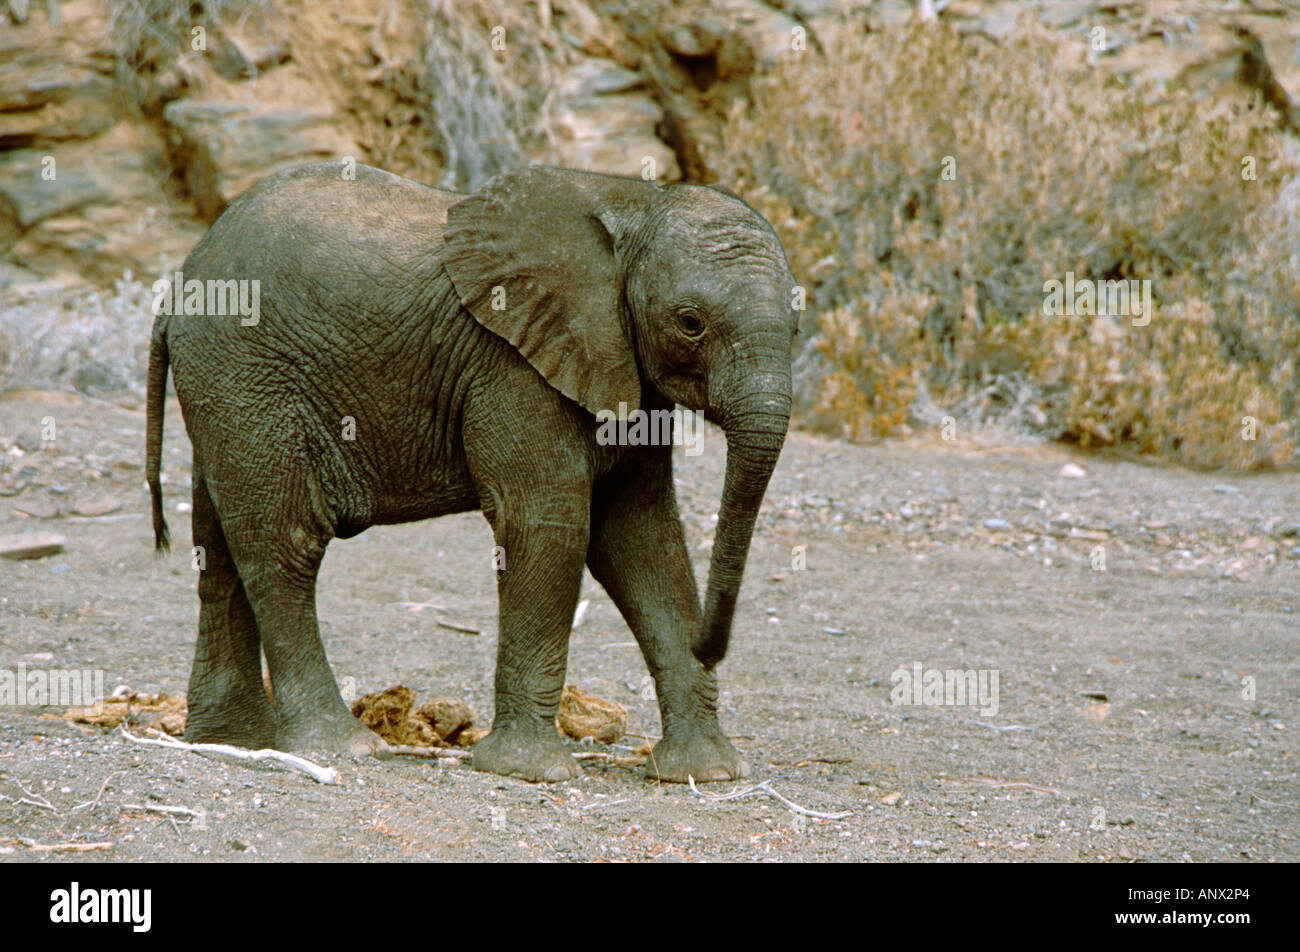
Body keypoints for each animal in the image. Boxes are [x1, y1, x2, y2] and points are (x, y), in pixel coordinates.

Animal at [145, 161, 797, 783]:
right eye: (690, 323)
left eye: (796, 327)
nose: (709, 644)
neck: (636, 202)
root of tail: (179, 287)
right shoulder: (513, 363)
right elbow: (546, 525)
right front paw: (531, 773)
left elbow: (642, 536)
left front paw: (706, 773)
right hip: (248, 378)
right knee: (285, 542)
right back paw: (342, 748)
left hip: (225, 389)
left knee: (219, 549)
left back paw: (231, 741)